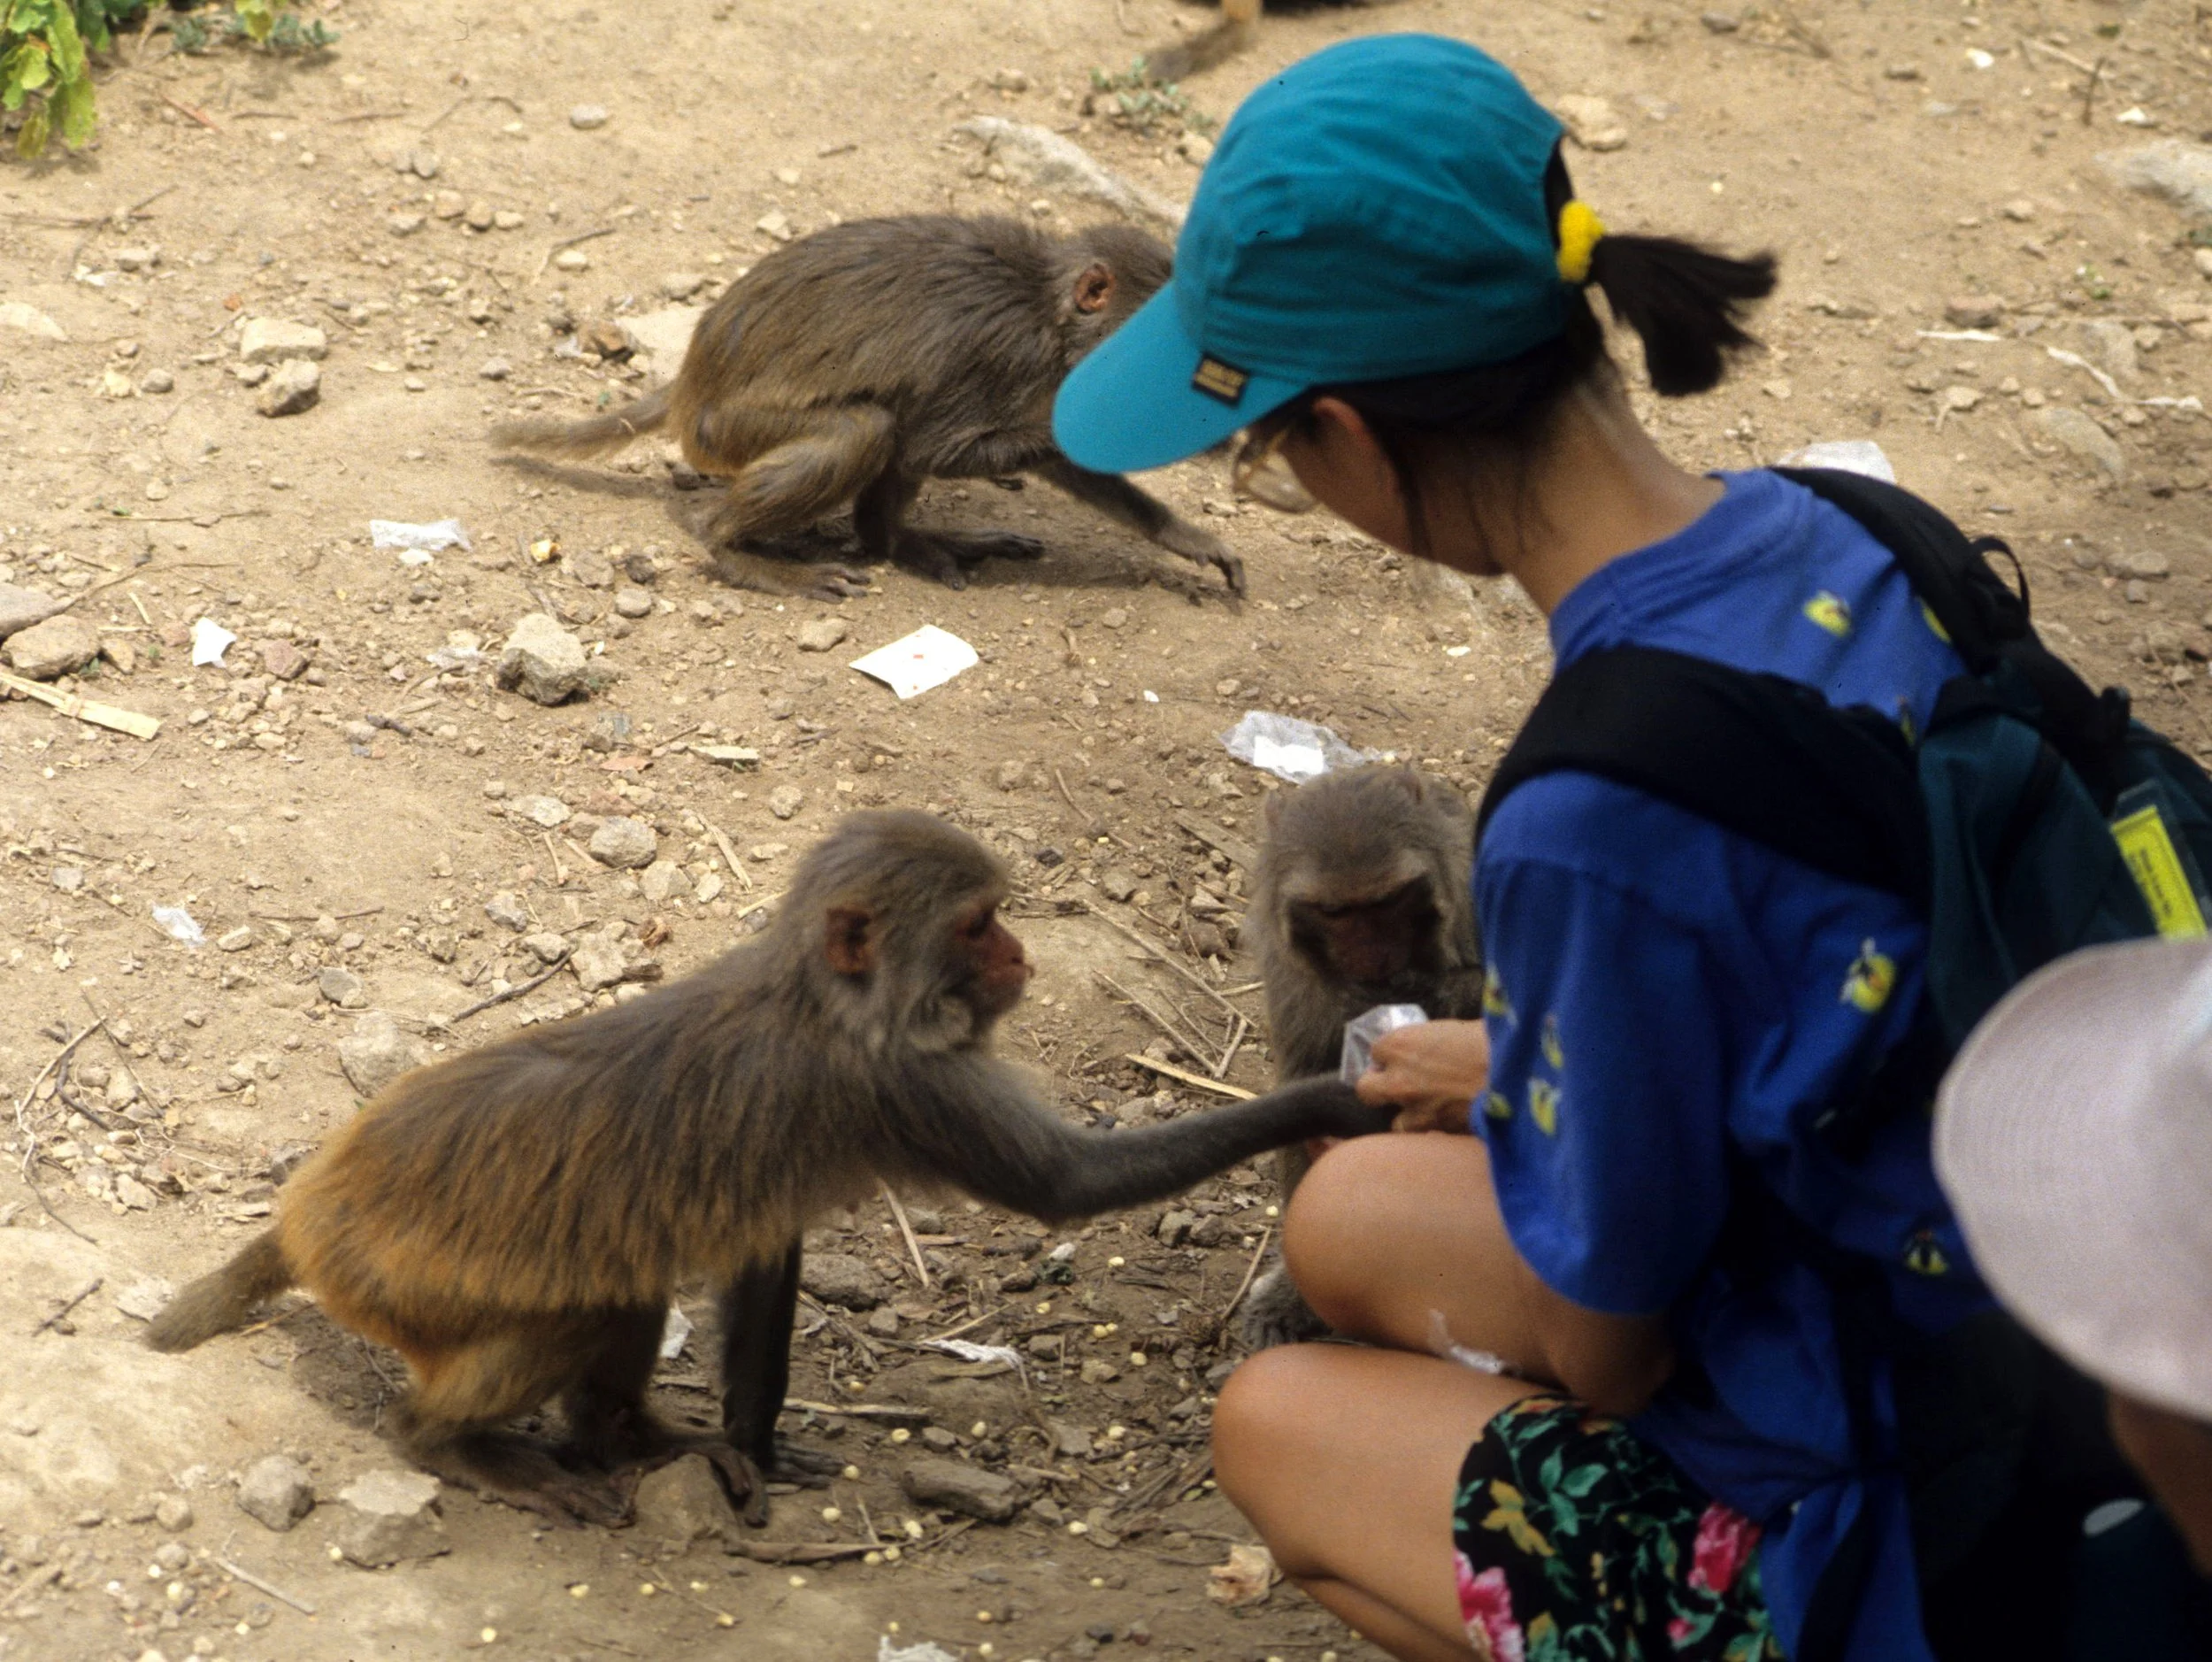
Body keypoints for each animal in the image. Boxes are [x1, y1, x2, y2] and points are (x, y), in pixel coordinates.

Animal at [146, 811, 1384, 1526]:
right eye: (977, 928)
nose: (1023, 954)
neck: (830, 1002)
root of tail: (309, 1213)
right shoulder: (914, 1086)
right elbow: (1066, 1187)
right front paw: (1339, 1097)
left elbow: (761, 1255)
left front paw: (750, 1443)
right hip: (403, 1283)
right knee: (569, 1314)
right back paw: (451, 1442)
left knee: (620, 1291)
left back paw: (626, 1438)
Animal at [491, 216, 1242, 601]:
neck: (1048, 311)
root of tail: (687, 387)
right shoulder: (1004, 355)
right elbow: (936, 446)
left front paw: (1186, 538)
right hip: (726, 435)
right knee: (870, 426)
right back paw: (739, 551)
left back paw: (894, 540)